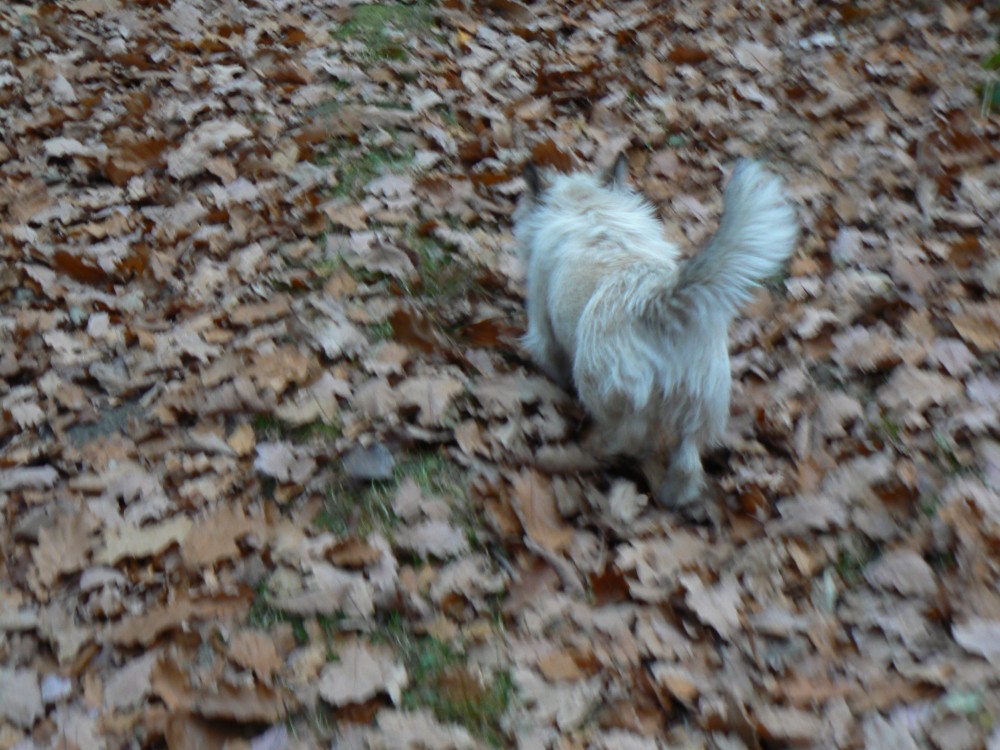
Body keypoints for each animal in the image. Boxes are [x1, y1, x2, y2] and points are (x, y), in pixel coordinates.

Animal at [514, 153, 797, 508]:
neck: (590, 208)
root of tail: (657, 301)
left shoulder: (542, 324)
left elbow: (550, 356)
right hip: (703, 404)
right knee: (688, 462)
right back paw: (675, 497)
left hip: (606, 391)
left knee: (632, 437)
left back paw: (604, 451)